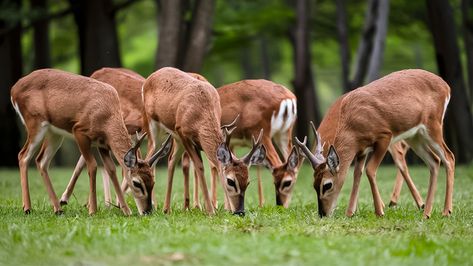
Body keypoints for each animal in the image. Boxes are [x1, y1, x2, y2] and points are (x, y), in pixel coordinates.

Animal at [10, 68, 171, 216]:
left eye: (153, 182)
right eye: (137, 183)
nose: (147, 211)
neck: (107, 116)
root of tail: (14, 89)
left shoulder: (103, 144)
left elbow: (112, 169)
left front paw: (126, 210)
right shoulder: (79, 131)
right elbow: (93, 166)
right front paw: (93, 210)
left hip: (54, 134)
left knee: (41, 160)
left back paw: (58, 209)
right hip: (35, 123)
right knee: (23, 155)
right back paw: (28, 208)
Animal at [142, 67, 266, 216]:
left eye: (247, 182)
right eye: (230, 181)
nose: (240, 211)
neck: (201, 113)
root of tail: (150, 77)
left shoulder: (193, 138)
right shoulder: (182, 131)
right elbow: (199, 166)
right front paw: (211, 211)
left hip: (175, 139)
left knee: (170, 160)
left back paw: (166, 208)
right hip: (154, 128)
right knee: (148, 158)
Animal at [296, 69, 454, 219]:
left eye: (327, 185)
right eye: (314, 185)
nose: (322, 214)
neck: (352, 125)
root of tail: (446, 86)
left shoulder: (385, 136)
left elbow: (370, 170)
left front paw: (379, 211)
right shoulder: (361, 150)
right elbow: (357, 174)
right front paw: (350, 213)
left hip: (433, 126)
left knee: (449, 157)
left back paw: (446, 211)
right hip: (415, 136)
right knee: (434, 161)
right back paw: (426, 213)